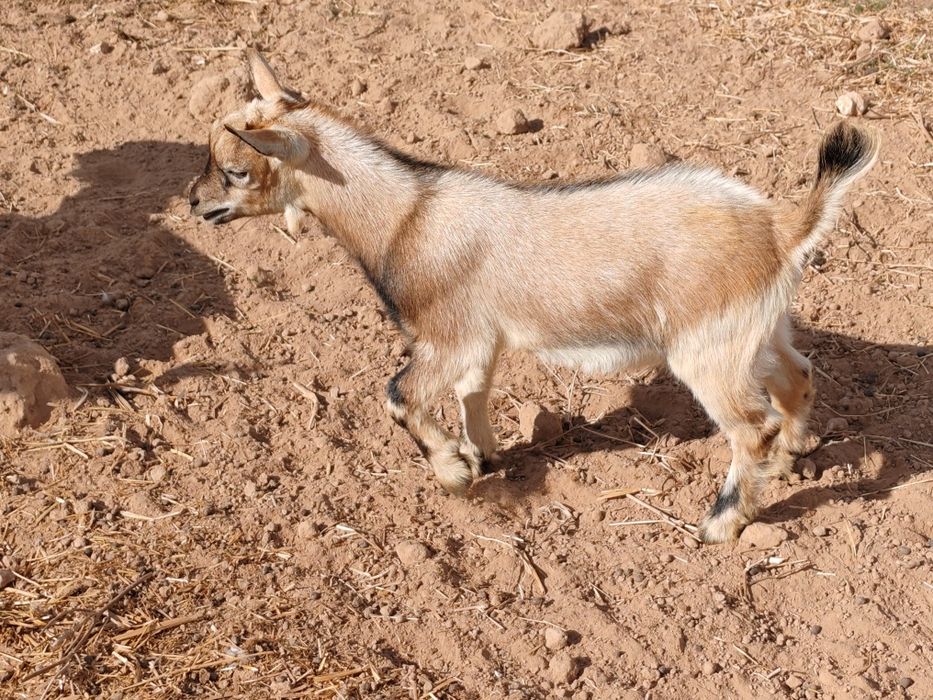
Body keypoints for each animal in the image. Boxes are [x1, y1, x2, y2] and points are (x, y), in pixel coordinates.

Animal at [188, 50, 879, 543]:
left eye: (237, 171)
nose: (195, 204)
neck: (405, 216)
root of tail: (779, 227)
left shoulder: (445, 335)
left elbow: (398, 395)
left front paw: (454, 473)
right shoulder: (479, 339)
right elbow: (473, 390)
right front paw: (484, 455)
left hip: (708, 349)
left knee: (751, 426)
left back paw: (722, 522)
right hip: (758, 330)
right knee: (798, 376)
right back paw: (792, 456)